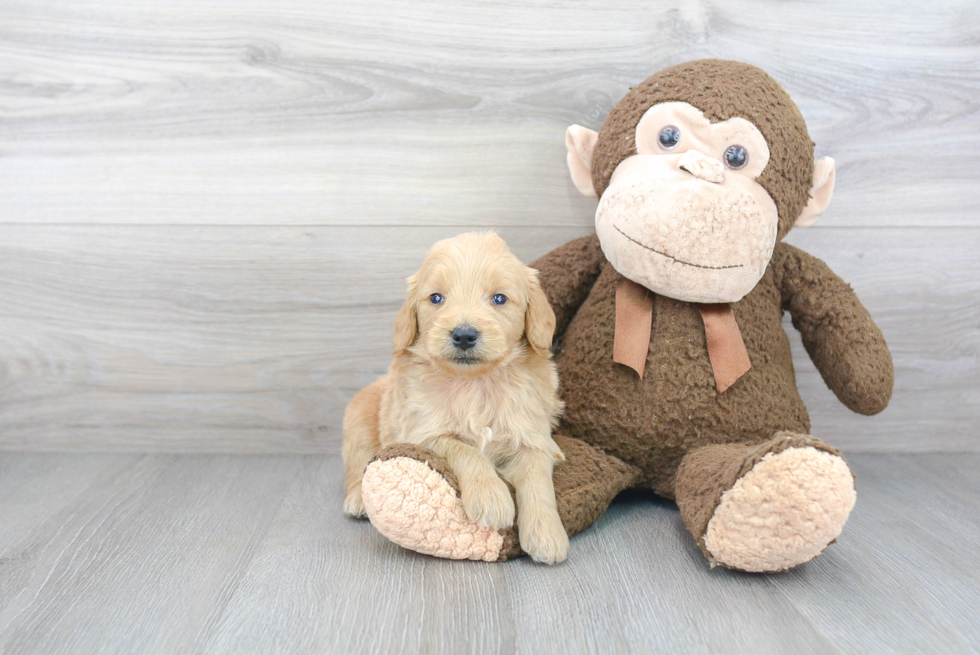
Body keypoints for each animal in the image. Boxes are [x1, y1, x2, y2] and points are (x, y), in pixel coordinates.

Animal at [342, 231, 568, 564]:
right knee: (357, 467)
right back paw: (357, 500)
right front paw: (491, 497)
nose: (463, 335)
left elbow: (538, 479)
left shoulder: (535, 438)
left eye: (499, 298)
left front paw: (547, 534)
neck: (476, 385)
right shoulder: (423, 433)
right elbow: (466, 449)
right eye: (436, 298)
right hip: (358, 423)